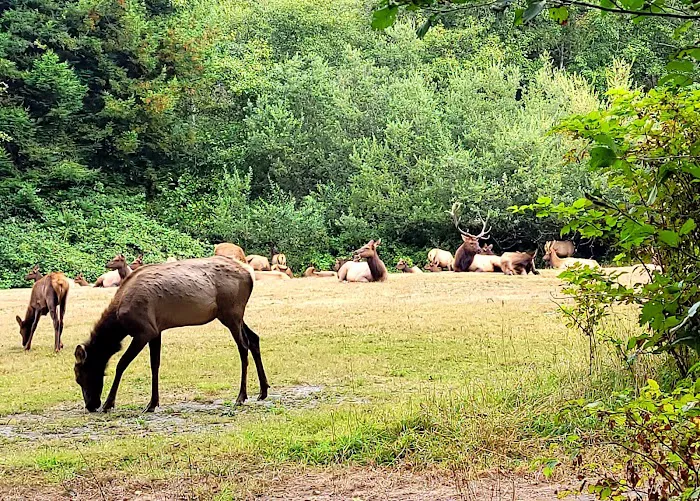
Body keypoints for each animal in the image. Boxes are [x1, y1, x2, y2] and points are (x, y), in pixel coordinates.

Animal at [74, 257, 269, 413]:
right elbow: (155, 365)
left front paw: (109, 403)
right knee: (254, 339)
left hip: (231, 313)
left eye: (80, 375)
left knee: (243, 346)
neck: (119, 323)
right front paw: (152, 403)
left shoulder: (144, 330)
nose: (90, 405)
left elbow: (121, 364)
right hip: (233, 315)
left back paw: (241, 396)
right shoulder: (156, 331)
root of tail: (250, 276)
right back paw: (263, 391)